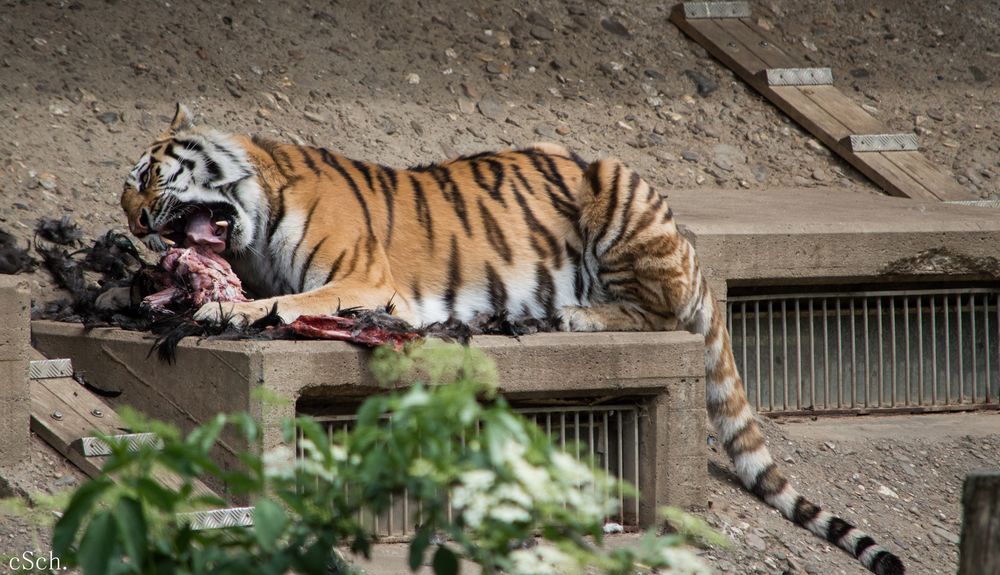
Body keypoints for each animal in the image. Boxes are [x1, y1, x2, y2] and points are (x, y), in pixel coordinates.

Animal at [121, 104, 904, 575]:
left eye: (150, 174)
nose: (130, 222)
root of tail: (688, 241)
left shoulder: (366, 280)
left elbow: (284, 300)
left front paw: (225, 313)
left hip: (616, 192)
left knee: (656, 311)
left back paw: (573, 315)